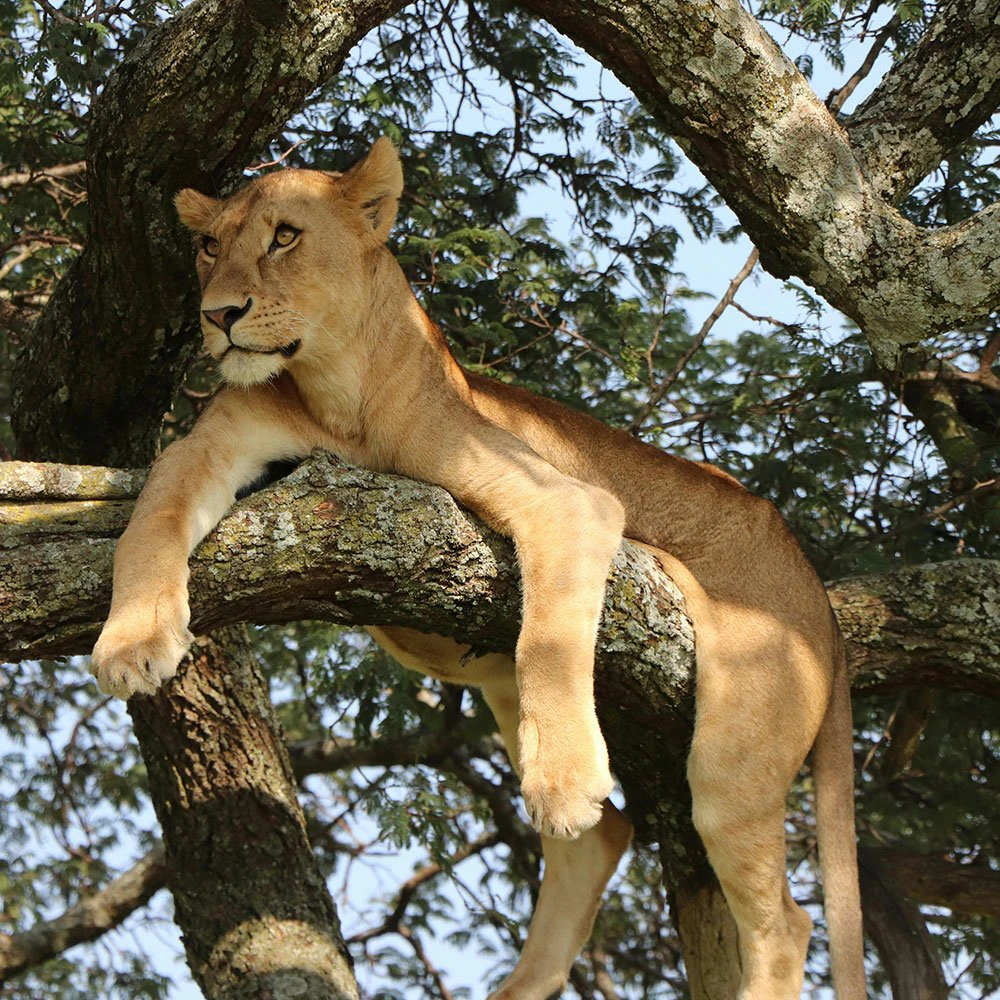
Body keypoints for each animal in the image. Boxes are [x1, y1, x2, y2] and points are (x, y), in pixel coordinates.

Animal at [91, 138, 866, 999]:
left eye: (284, 237)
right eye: (208, 245)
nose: (217, 315)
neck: (333, 392)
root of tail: (812, 587)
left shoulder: (569, 501)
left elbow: (549, 643)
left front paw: (564, 782)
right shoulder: (208, 447)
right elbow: (151, 520)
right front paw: (131, 644)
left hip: (739, 742)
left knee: (784, 921)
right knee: (602, 842)